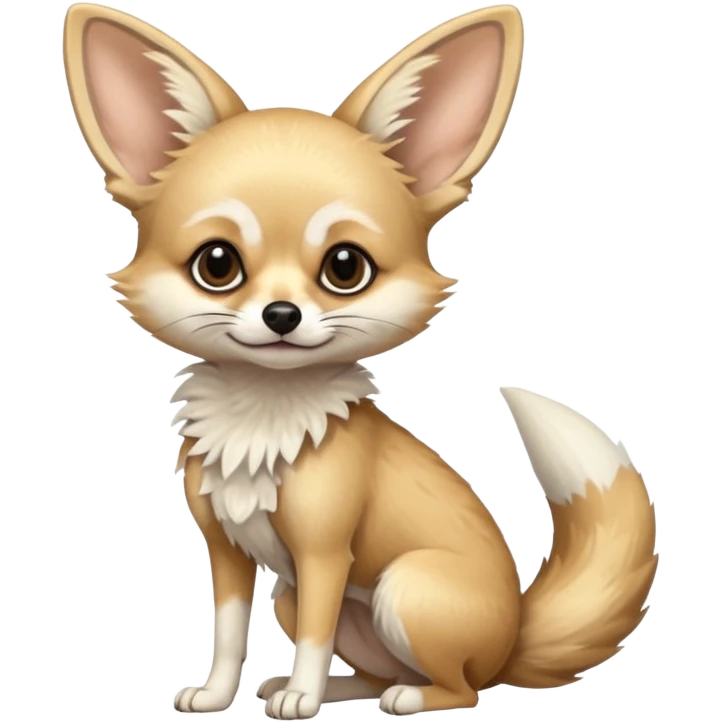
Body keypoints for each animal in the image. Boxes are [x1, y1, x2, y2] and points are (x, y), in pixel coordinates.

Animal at [62, 2, 659, 719]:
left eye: (345, 268)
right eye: (217, 265)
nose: (282, 315)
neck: (263, 415)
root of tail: (513, 635)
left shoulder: (325, 554)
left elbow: (315, 641)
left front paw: (302, 699)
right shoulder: (228, 553)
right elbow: (228, 634)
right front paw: (217, 695)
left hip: (406, 589)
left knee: (463, 689)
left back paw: (402, 695)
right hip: (297, 597)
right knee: (375, 668)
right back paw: (338, 688)